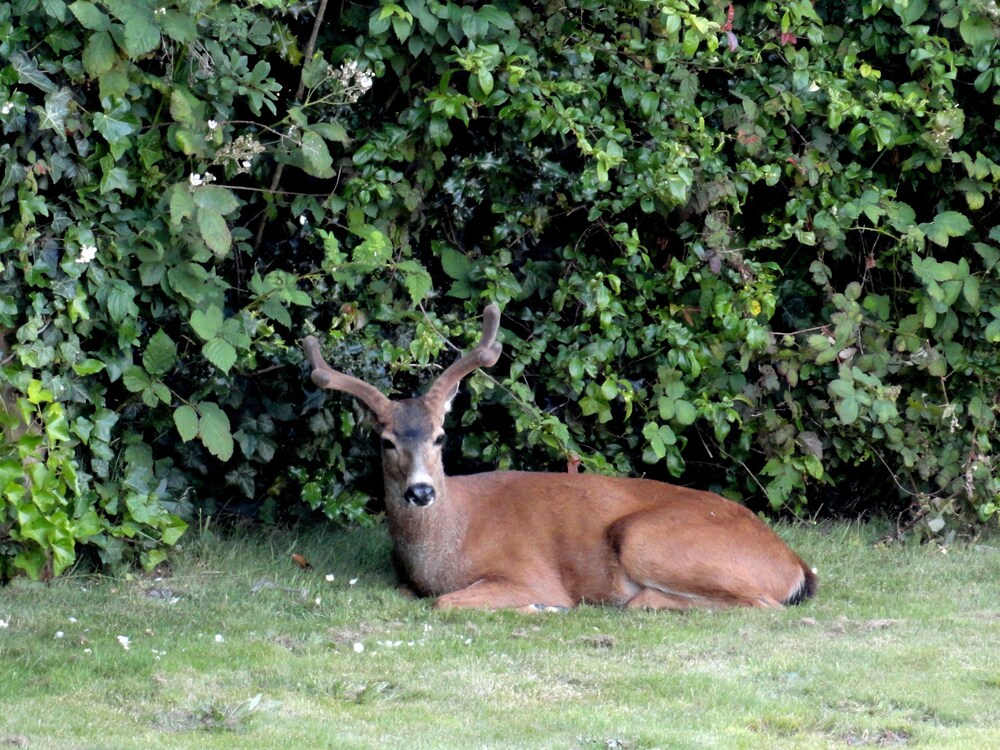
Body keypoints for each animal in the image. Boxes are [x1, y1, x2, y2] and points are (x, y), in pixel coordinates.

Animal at [300, 304, 816, 612]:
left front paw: (536, 606)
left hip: (645, 537)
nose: (422, 490)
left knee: (761, 605)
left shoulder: (528, 571)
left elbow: (447, 602)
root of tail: (794, 564)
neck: (445, 545)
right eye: (386, 441)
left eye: (440, 437)